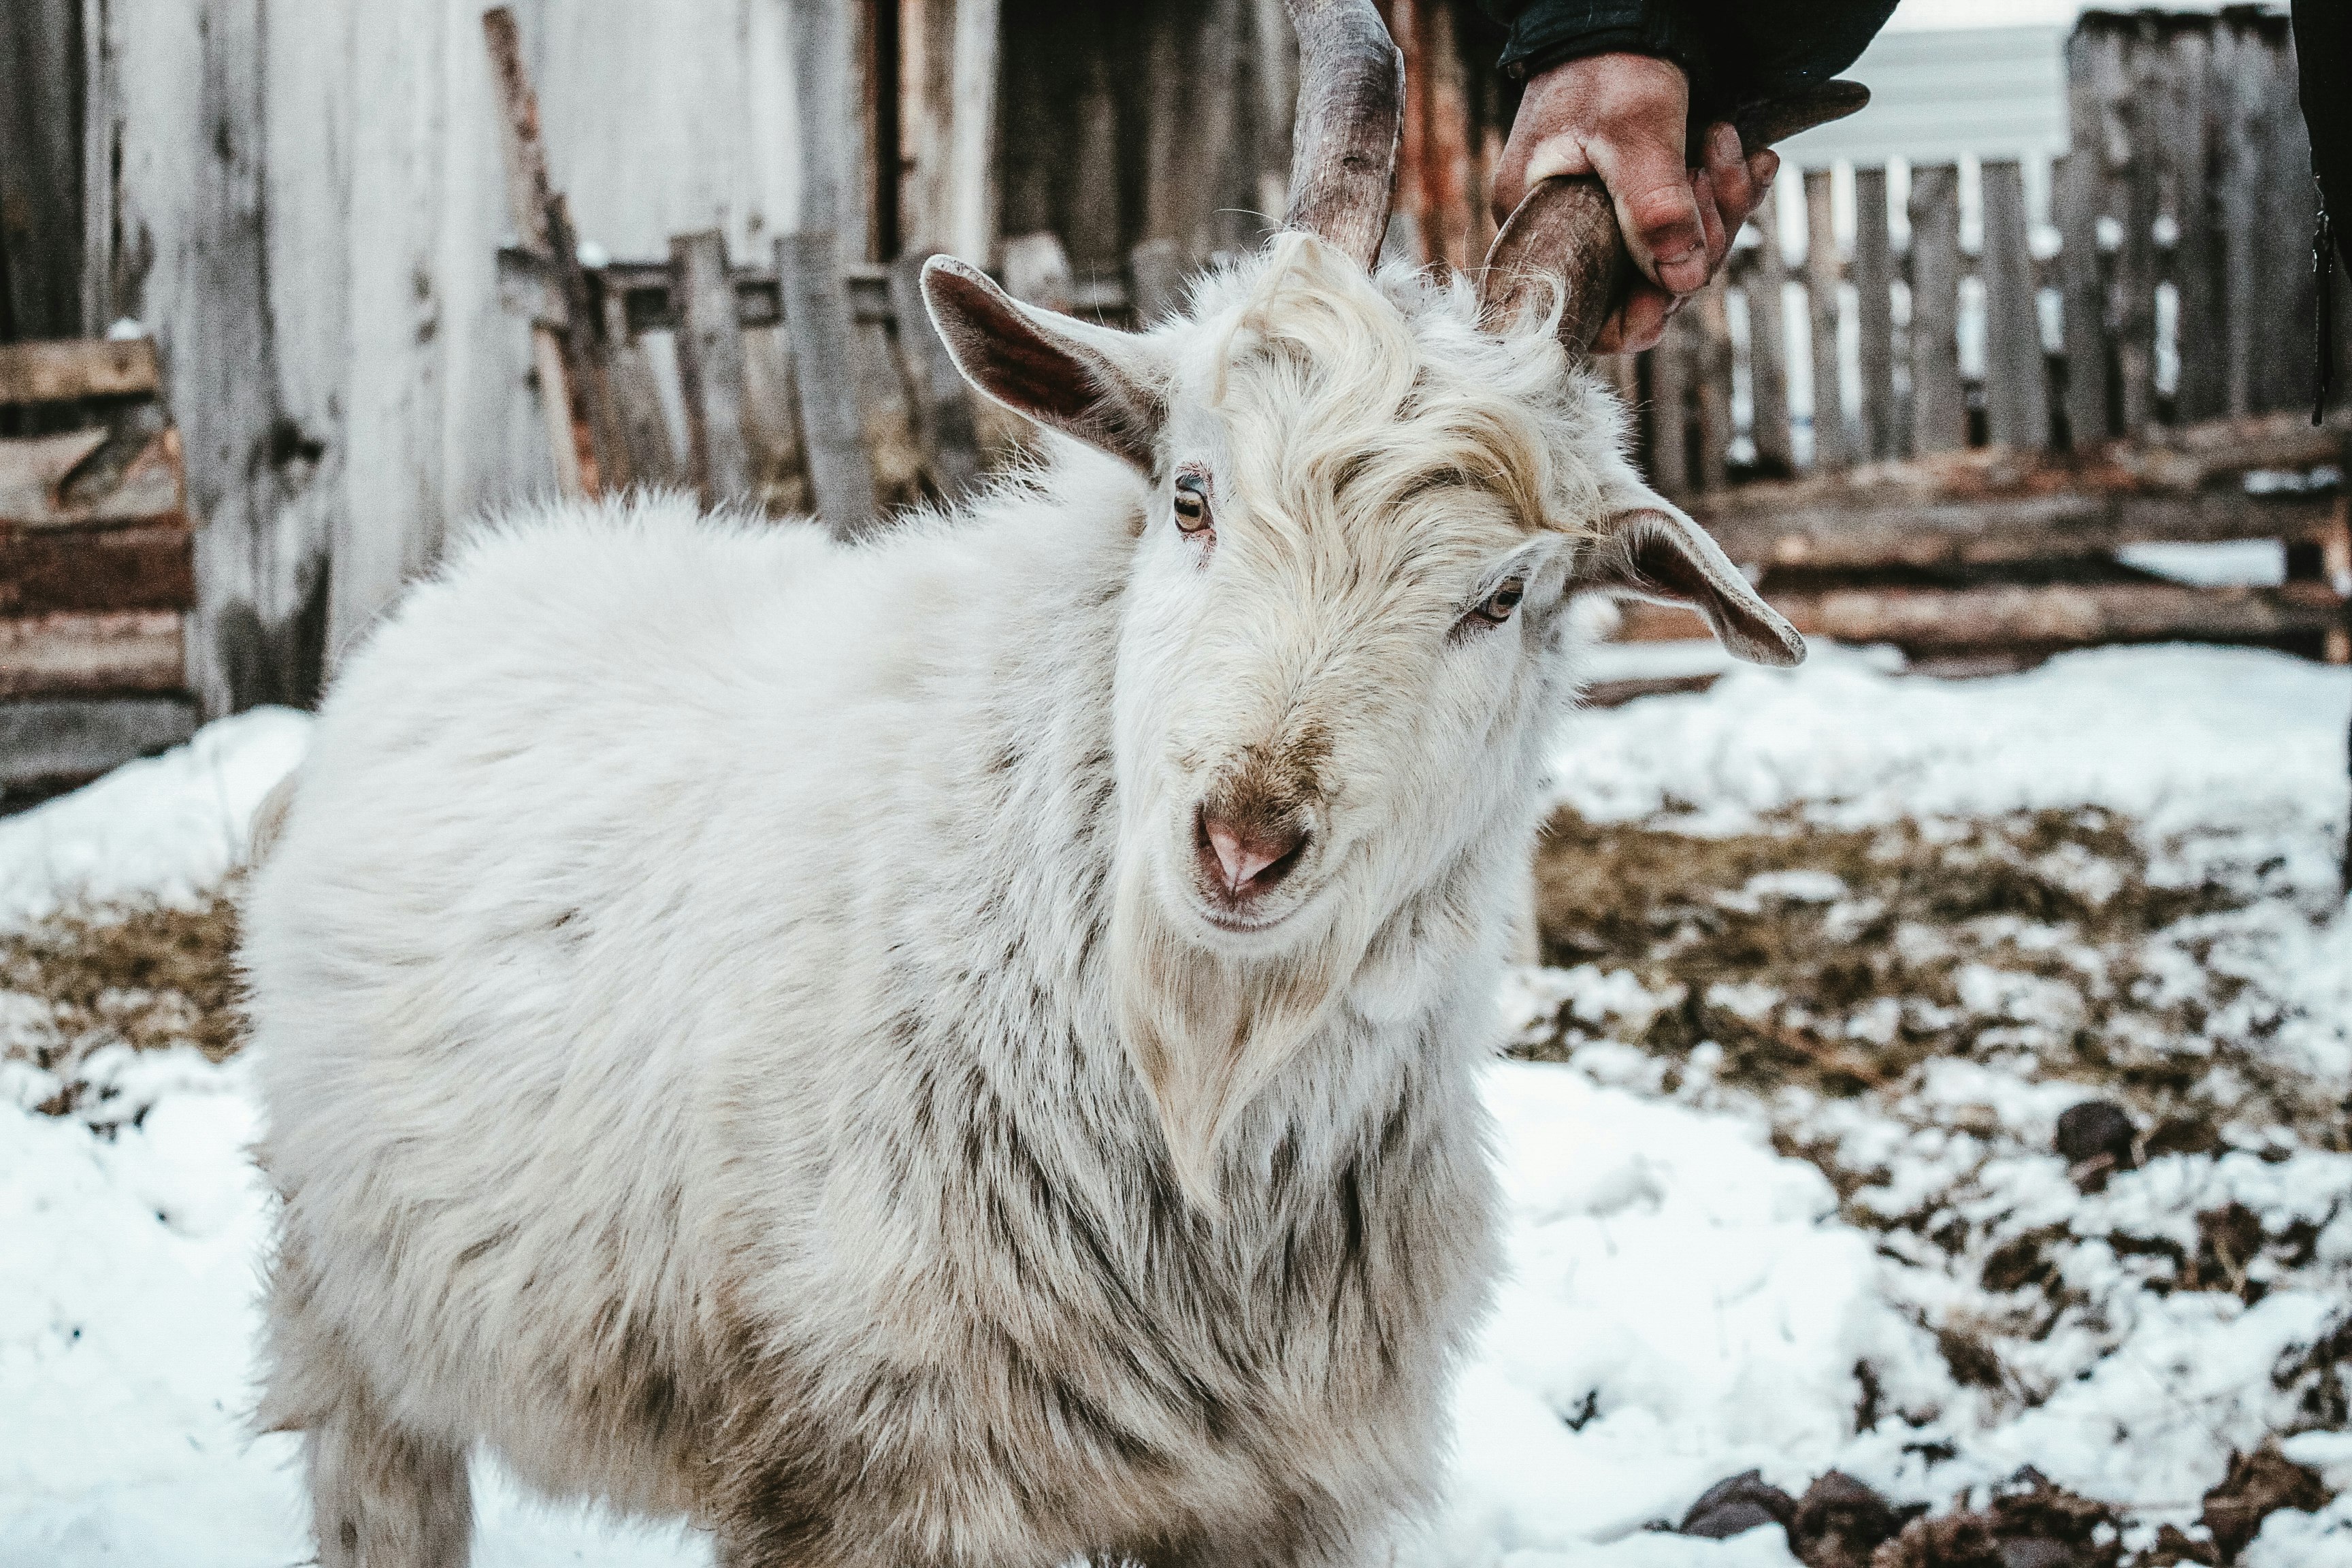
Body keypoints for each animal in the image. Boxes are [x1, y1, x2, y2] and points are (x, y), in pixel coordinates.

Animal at [243, 6, 1797, 1561]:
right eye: (1189, 495)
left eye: (1506, 595)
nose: (1243, 844)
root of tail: (495, 558)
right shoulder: (875, 1468)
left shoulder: (1278, 1492)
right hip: (348, 1316)